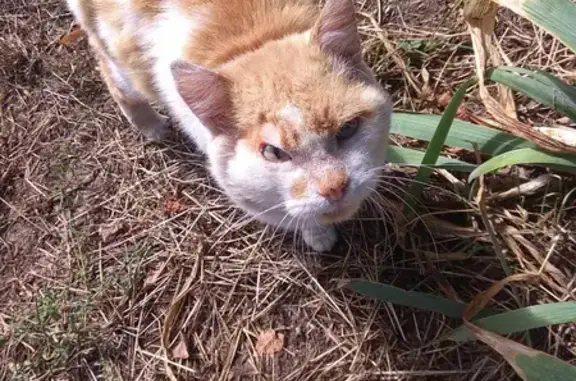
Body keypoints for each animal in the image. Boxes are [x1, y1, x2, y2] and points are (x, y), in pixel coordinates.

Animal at [65, 0, 394, 251]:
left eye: (348, 129)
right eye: (273, 153)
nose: (334, 187)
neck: (253, 39)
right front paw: (318, 235)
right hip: (122, 61)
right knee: (111, 73)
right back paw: (151, 125)